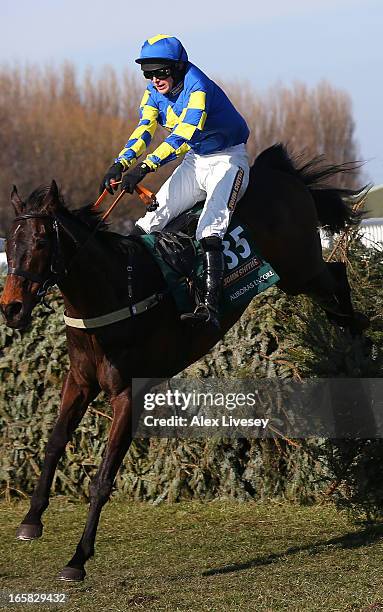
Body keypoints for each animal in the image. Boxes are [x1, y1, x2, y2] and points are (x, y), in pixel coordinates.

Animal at [0, 143, 368, 580]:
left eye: (41, 242)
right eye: (10, 241)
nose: (11, 308)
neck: (113, 294)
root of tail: (278, 172)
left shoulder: (128, 393)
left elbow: (104, 476)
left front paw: (78, 558)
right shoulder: (80, 380)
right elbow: (54, 444)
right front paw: (31, 521)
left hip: (300, 269)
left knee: (337, 275)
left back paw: (359, 349)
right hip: (301, 275)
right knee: (336, 285)